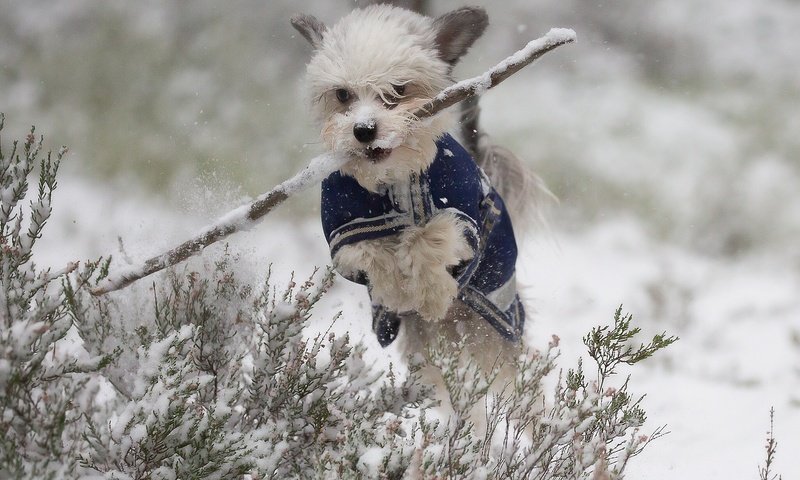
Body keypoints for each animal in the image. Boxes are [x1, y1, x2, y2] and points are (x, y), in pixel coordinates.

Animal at [290, 4, 540, 404]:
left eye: (398, 90)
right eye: (342, 94)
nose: (364, 130)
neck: (395, 178)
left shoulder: (465, 218)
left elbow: (428, 236)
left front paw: (432, 293)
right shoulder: (345, 230)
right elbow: (372, 250)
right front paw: (397, 288)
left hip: (495, 332)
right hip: (430, 356)